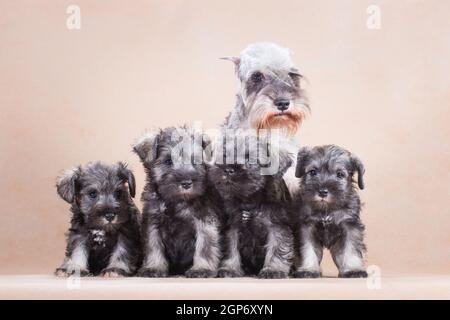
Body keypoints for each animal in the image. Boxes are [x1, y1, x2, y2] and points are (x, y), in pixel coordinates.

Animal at [133, 125, 221, 278]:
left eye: (195, 161)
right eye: (168, 161)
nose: (186, 183)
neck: (178, 201)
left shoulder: (204, 222)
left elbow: (204, 247)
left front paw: (201, 269)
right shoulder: (152, 223)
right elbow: (153, 246)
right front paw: (153, 267)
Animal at [294, 145, 368, 278]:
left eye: (339, 174)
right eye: (313, 172)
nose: (323, 192)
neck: (327, 209)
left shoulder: (350, 226)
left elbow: (351, 249)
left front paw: (353, 269)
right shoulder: (307, 228)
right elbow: (308, 249)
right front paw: (308, 270)